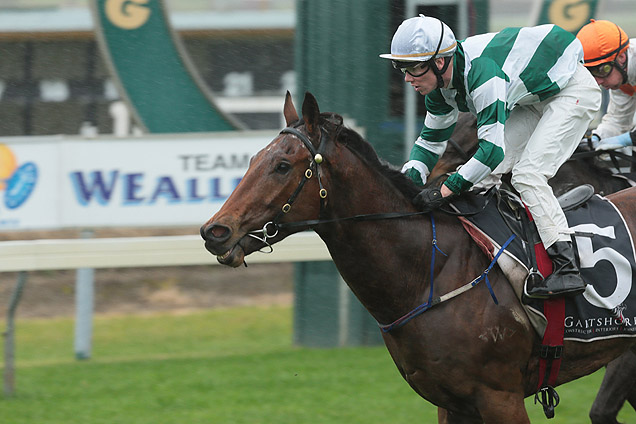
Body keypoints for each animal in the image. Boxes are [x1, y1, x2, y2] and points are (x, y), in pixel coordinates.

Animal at [201, 91, 636, 422]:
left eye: (282, 165)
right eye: (253, 160)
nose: (215, 231)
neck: (429, 271)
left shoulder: (500, 396)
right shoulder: (452, 402)